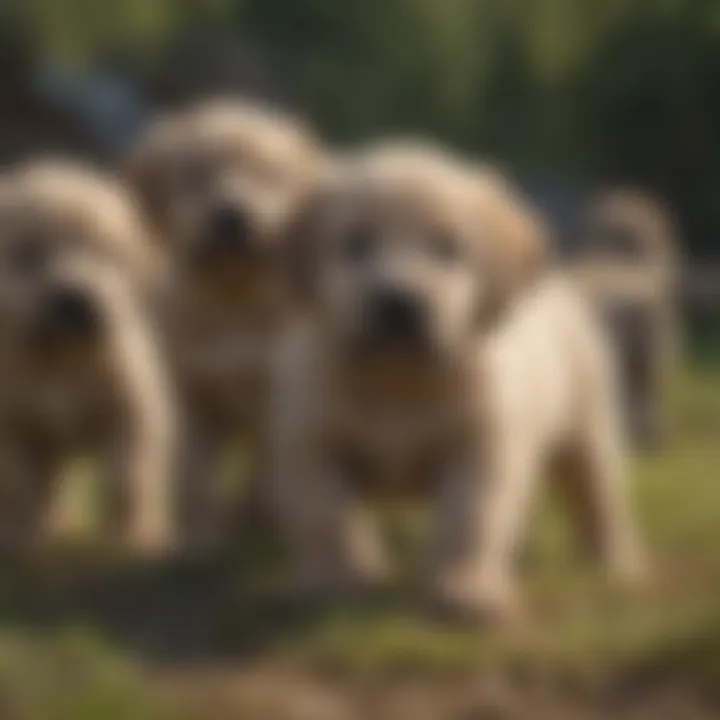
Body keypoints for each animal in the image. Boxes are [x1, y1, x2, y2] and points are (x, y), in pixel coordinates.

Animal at [0, 159, 175, 552]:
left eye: (106, 255)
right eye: (29, 254)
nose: (76, 298)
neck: (62, 361)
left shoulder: (130, 413)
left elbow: (128, 481)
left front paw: (134, 540)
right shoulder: (14, 429)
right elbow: (19, 487)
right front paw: (21, 539)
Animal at [125, 100, 324, 552]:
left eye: (268, 175)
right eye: (196, 176)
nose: (231, 215)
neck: (232, 302)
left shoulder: (275, 394)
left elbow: (267, 469)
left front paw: (260, 520)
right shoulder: (188, 394)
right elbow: (195, 475)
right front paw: (200, 538)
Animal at [270, 142, 648, 620]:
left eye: (448, 247)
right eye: (356, 243)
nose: (399, 302)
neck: (399, 380)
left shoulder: (482, 448)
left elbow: (471, 522)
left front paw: (464, 589)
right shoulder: (311, 443)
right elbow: (327, 518)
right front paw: (338, 583)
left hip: (586, 426)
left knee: (598, 495)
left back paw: (616, 565)